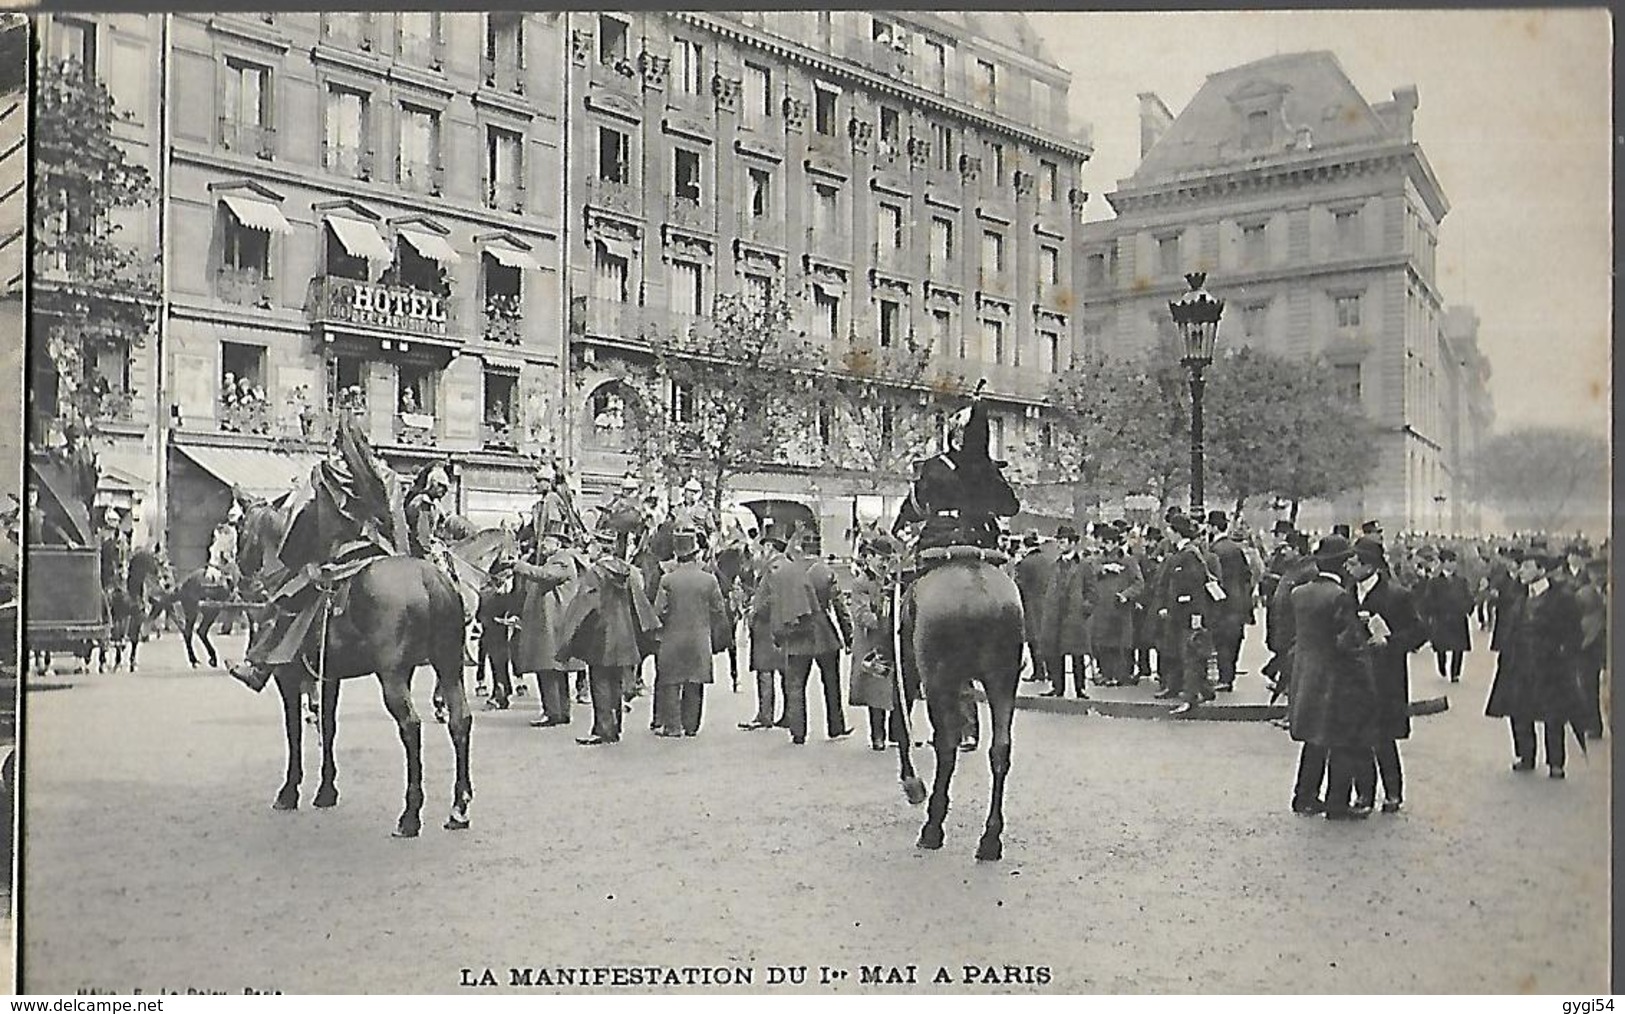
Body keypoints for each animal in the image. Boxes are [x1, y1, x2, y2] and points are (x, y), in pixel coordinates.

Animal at [237, 494, 474, 838]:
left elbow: (294, 732)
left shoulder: (288, 678)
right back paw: (459, 808)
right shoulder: (328, 678)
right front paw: (326, 791)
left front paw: (289, 791)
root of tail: (429, 579)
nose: (241, 574)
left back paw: (410, 816)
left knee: (411, 727)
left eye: (239, 528)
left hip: (393, 677)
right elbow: (328, 726)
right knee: (460, 721)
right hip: (448, 666)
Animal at [897, 555, 1020, 864]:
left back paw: (932, 828)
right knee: (1000, 750)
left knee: (946, 746)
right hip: (1003, 681)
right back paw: (990, 839)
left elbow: (901, 723)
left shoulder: (907, 668)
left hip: (939, 680)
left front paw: (912, 784)